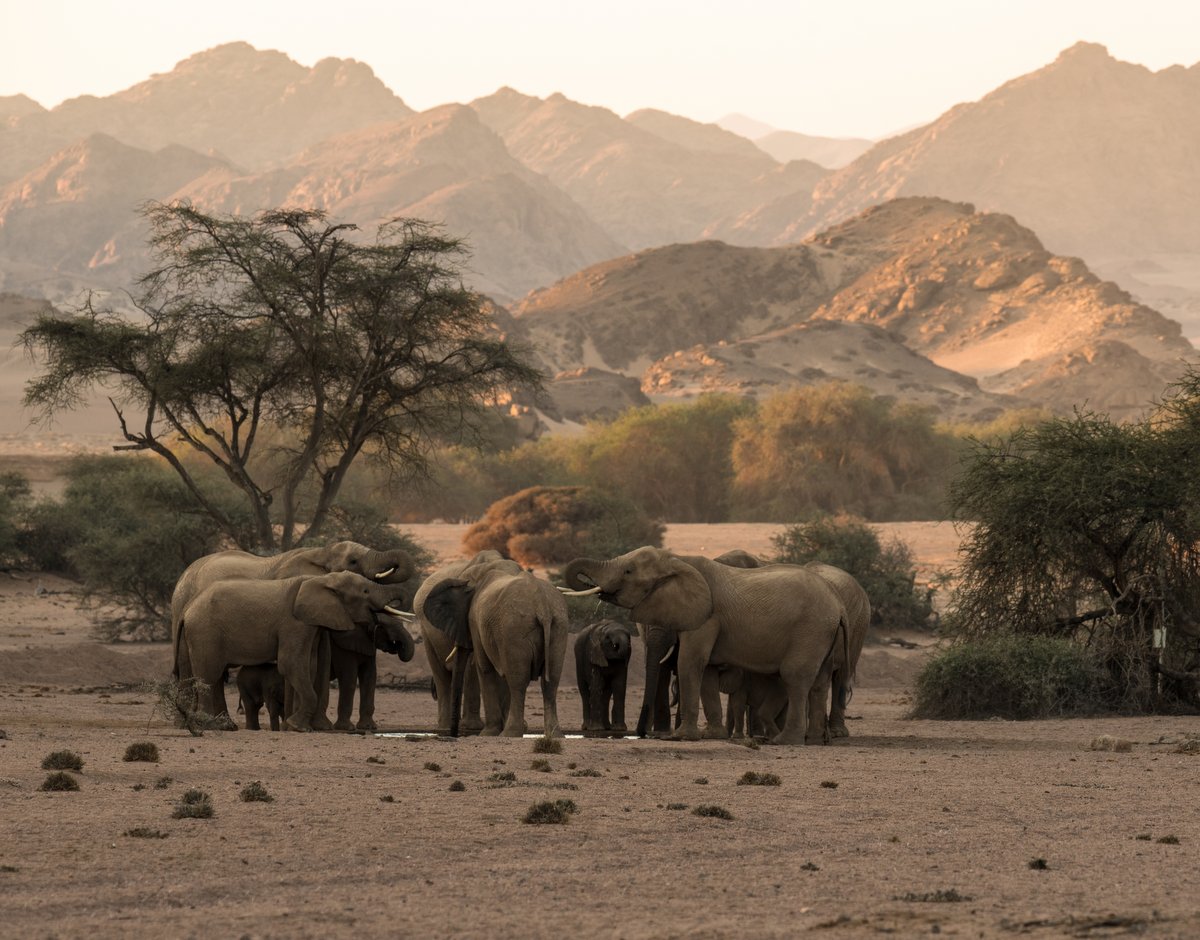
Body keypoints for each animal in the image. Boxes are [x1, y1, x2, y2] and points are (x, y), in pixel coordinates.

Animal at [166, 540, 415, 725]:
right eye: (353, 561)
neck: (320, 552)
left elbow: (319, 659)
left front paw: (319, 727)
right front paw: (298, 724)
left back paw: (221, 724)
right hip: (185, 611)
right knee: (194, 667)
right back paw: (193, 723)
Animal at [422, 554, 571, 739]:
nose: (454, 735)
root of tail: (542, 605)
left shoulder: (475, 620)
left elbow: (485, 667)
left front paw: (487, 733)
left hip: (514, 629)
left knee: (518, 681)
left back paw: (510, 733)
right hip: (559, 627)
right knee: (550, 682)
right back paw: (554, 735)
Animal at [561, 547, 844, 744]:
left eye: (629, 571)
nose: (642, 734)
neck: (677, 559)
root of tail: (837, 603)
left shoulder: (706, 616)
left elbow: (690, 661)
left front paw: (681, 737)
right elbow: (706, 670)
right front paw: (712, 735)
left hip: (810, 630)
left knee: (795, 678)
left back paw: (785, 741)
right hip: (823, 634)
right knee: (819, 682)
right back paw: (814, 741)